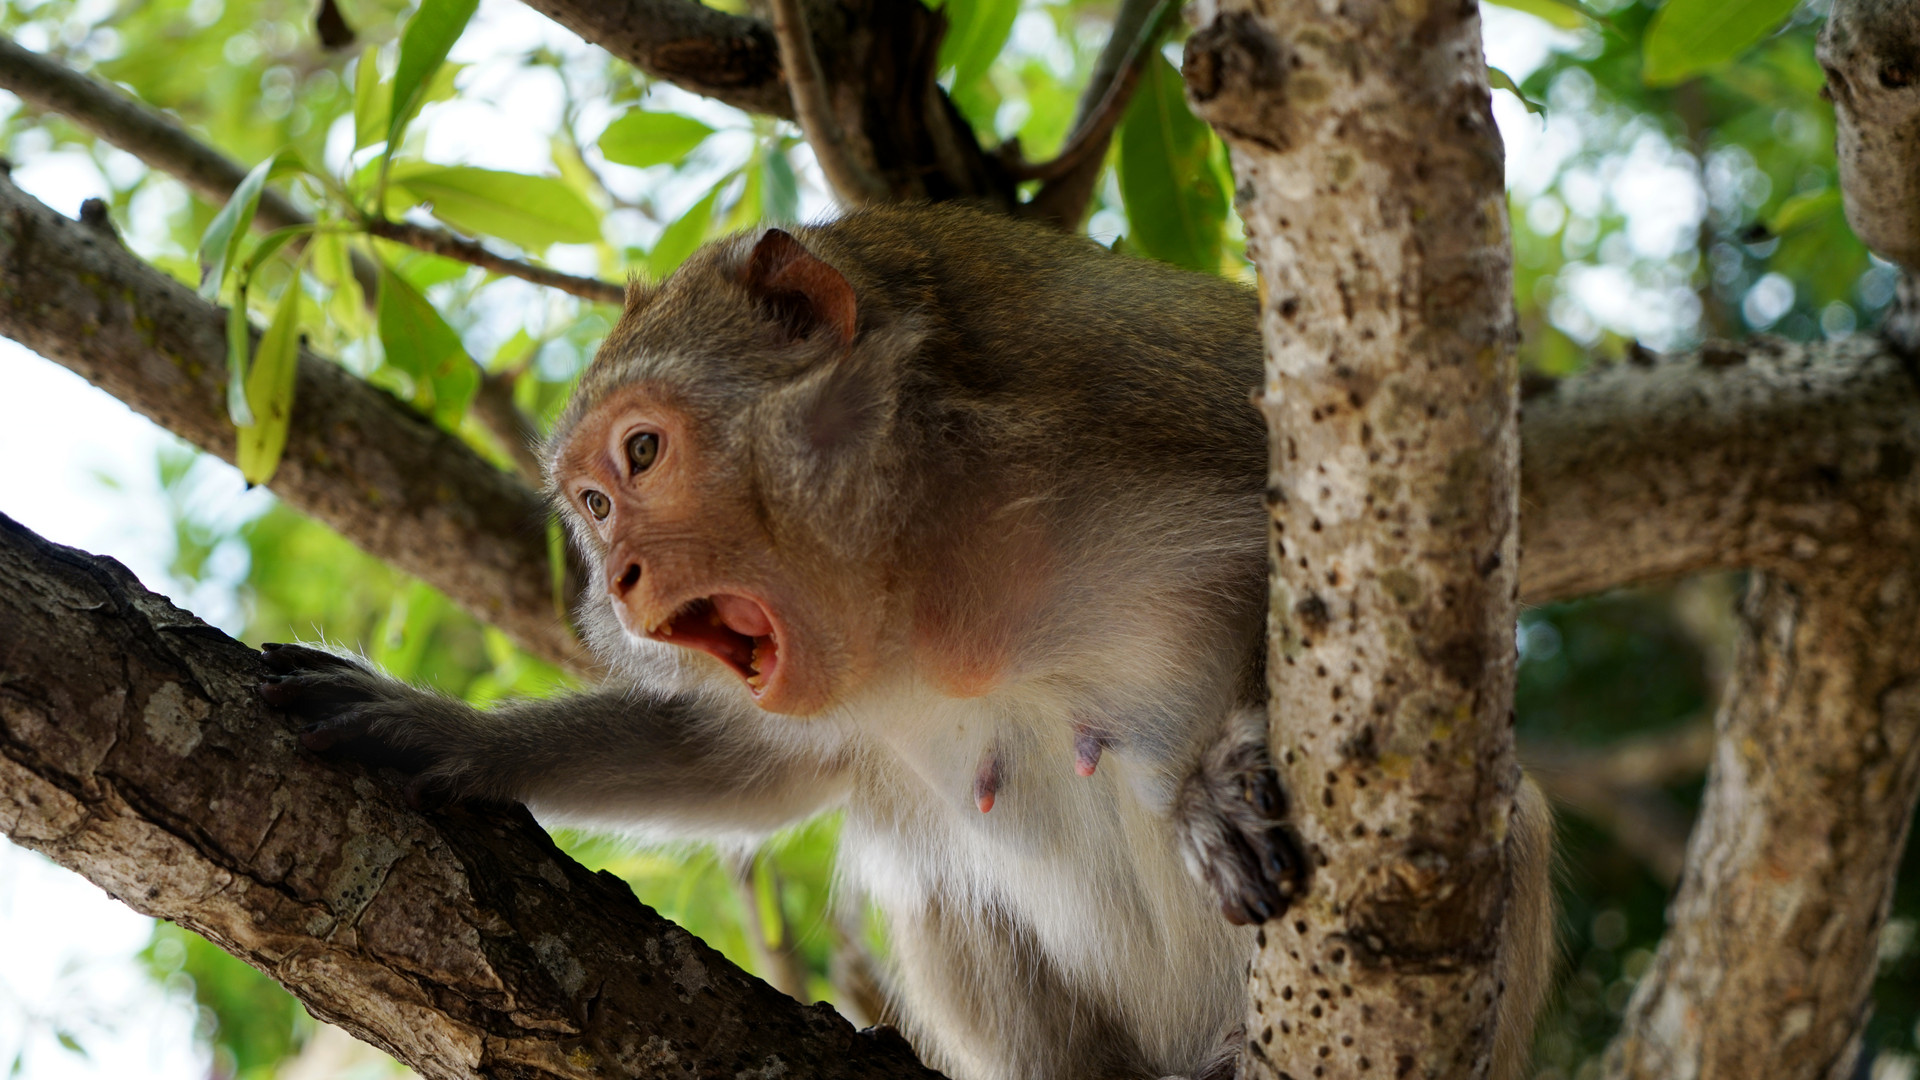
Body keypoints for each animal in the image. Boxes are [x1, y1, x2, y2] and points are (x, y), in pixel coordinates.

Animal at [259, 203, 1559, 1076]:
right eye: (590, 505)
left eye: (642, 454)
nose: (620, 582)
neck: (931, 575)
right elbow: (749, 769)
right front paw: (448, 737)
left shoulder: (1165, 395)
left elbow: (1422, 598)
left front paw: (1226, 782)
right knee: (943, 892)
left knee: (1505, 813)